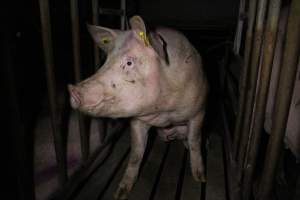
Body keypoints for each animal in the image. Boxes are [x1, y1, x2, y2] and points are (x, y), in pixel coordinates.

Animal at [68, 16, 209, 200]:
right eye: (106, 60)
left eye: (129, 62)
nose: (72, 90)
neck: (164, 109)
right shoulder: (137, 120)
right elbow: (136, 154)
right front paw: (120, 193)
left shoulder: (199, 111)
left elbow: (195, 141)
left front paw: (200, 178)